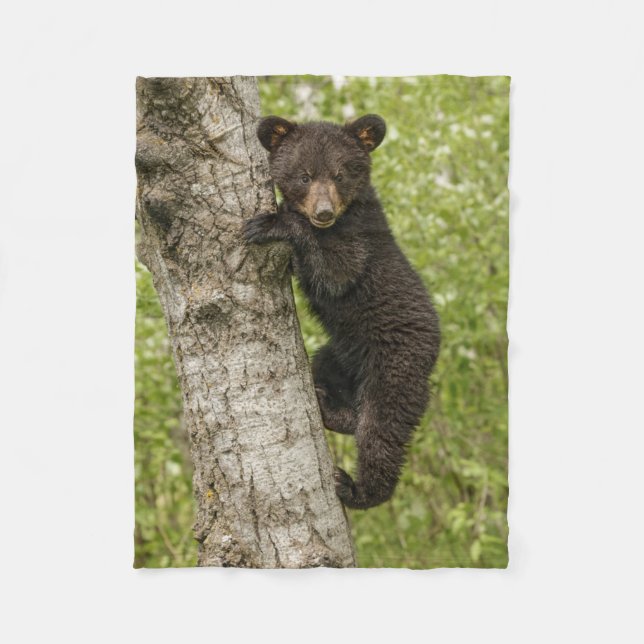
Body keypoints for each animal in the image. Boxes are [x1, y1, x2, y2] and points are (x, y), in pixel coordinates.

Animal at [243, 113, 441, 509]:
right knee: (331, 379)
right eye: (304, 175)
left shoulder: (360, 242)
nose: (323, 212)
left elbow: (336, 270)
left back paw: (356, 488)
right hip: (339, 354)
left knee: (381, 431)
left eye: (339, 174)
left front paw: (270, 223)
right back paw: (328, 406)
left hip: (395, 367)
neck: (345, 215)